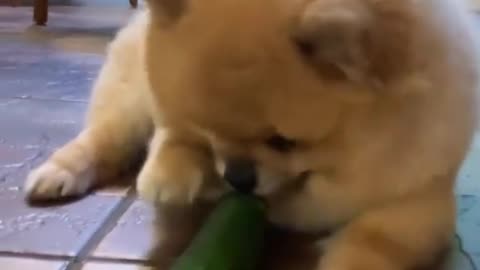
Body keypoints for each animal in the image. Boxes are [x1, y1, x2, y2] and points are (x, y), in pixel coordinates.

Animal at [27, 0, 480, 270]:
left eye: (284, 142)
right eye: (210, 131)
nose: (238, 178)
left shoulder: (415, 200)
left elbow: (371, 246)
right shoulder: (171, 113)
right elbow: (171, 132)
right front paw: (170, 174)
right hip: (128, 97)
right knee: (104, 138)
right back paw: (57, 174)